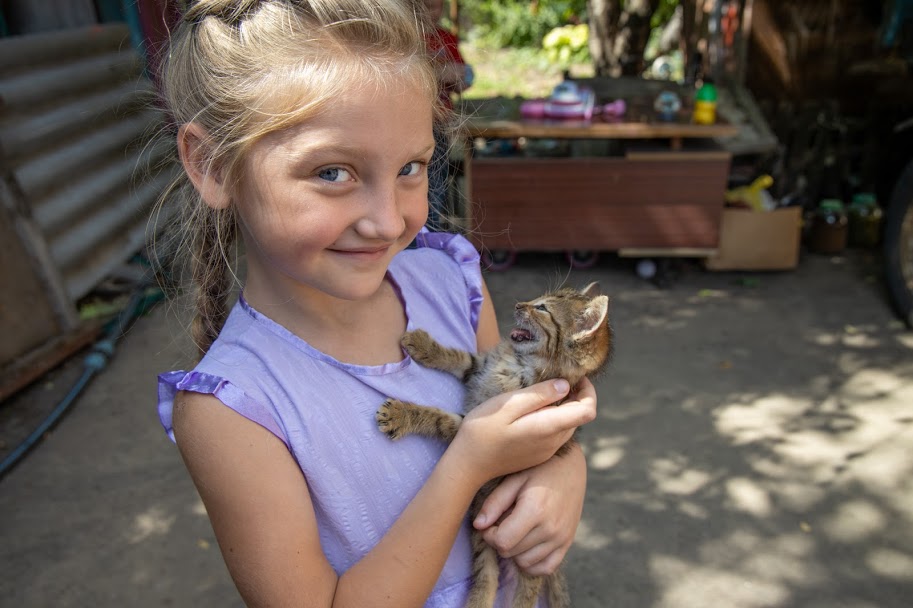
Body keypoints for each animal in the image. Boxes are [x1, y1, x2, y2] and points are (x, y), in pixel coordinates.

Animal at [378, 282, 612, 604]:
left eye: (542, 309)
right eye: (537, 299)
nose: (518, 304)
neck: (520, 361)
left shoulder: (474, 423)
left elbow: (440, 418)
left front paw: (402, 414)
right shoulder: (479, 367)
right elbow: (460, 358)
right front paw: (424, 345)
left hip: (527, 549)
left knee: (528, 589)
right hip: (481, 531)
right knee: (487, 579)